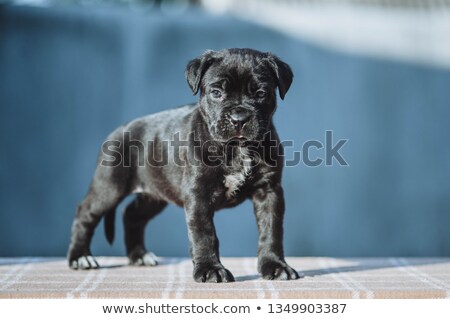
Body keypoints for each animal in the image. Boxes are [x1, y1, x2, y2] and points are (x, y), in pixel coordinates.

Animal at [67, 47, 298, 282]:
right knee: (85, 213)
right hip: (109, 187)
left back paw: (139, 255)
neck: (235, 148)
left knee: (132, 215)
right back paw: (80, 257)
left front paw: (275, 265)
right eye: (216, 92)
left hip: (155, 193)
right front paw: (210, 269)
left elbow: (271, 230)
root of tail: (119, 129)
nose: (239, 118)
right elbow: (204, 233)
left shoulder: (268, 191)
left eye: (261, 93)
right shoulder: (198, 193)